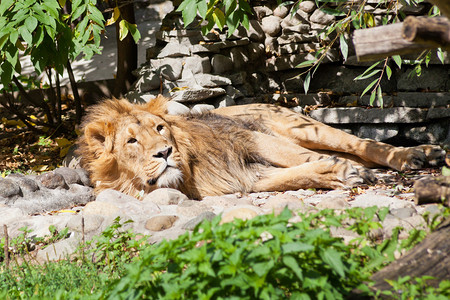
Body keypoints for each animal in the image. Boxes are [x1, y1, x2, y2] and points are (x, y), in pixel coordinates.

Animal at [76, 96, 442, 199]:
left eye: (160, 128)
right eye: (131, 141)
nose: (165, 153)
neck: (187, 178)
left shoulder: (250, 139)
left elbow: (301, 158)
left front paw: (343, 171)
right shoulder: (243, 177)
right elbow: (293, 175)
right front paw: (335, 174)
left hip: (299, 126)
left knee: (361, 144)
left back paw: (416, 154)